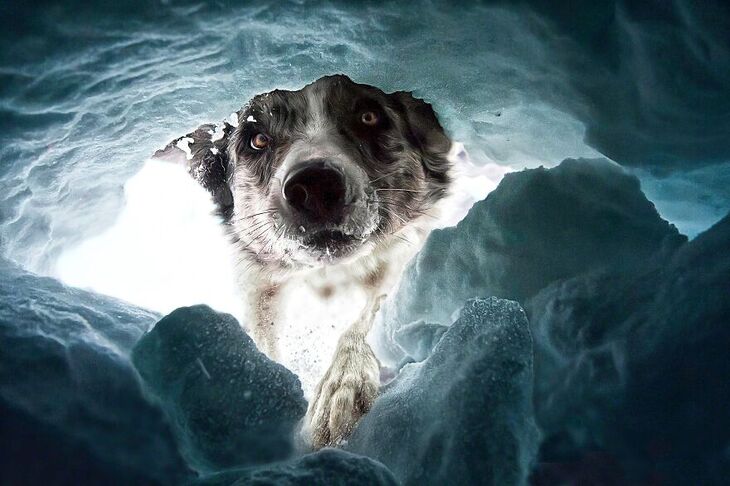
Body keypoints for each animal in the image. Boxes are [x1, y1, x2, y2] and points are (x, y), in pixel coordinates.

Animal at [154, 75, 450, 448]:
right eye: (258, 139)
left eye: (368, 116)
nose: (315, 186)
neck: (327, 278)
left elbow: (370, 313)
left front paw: (342, 384)